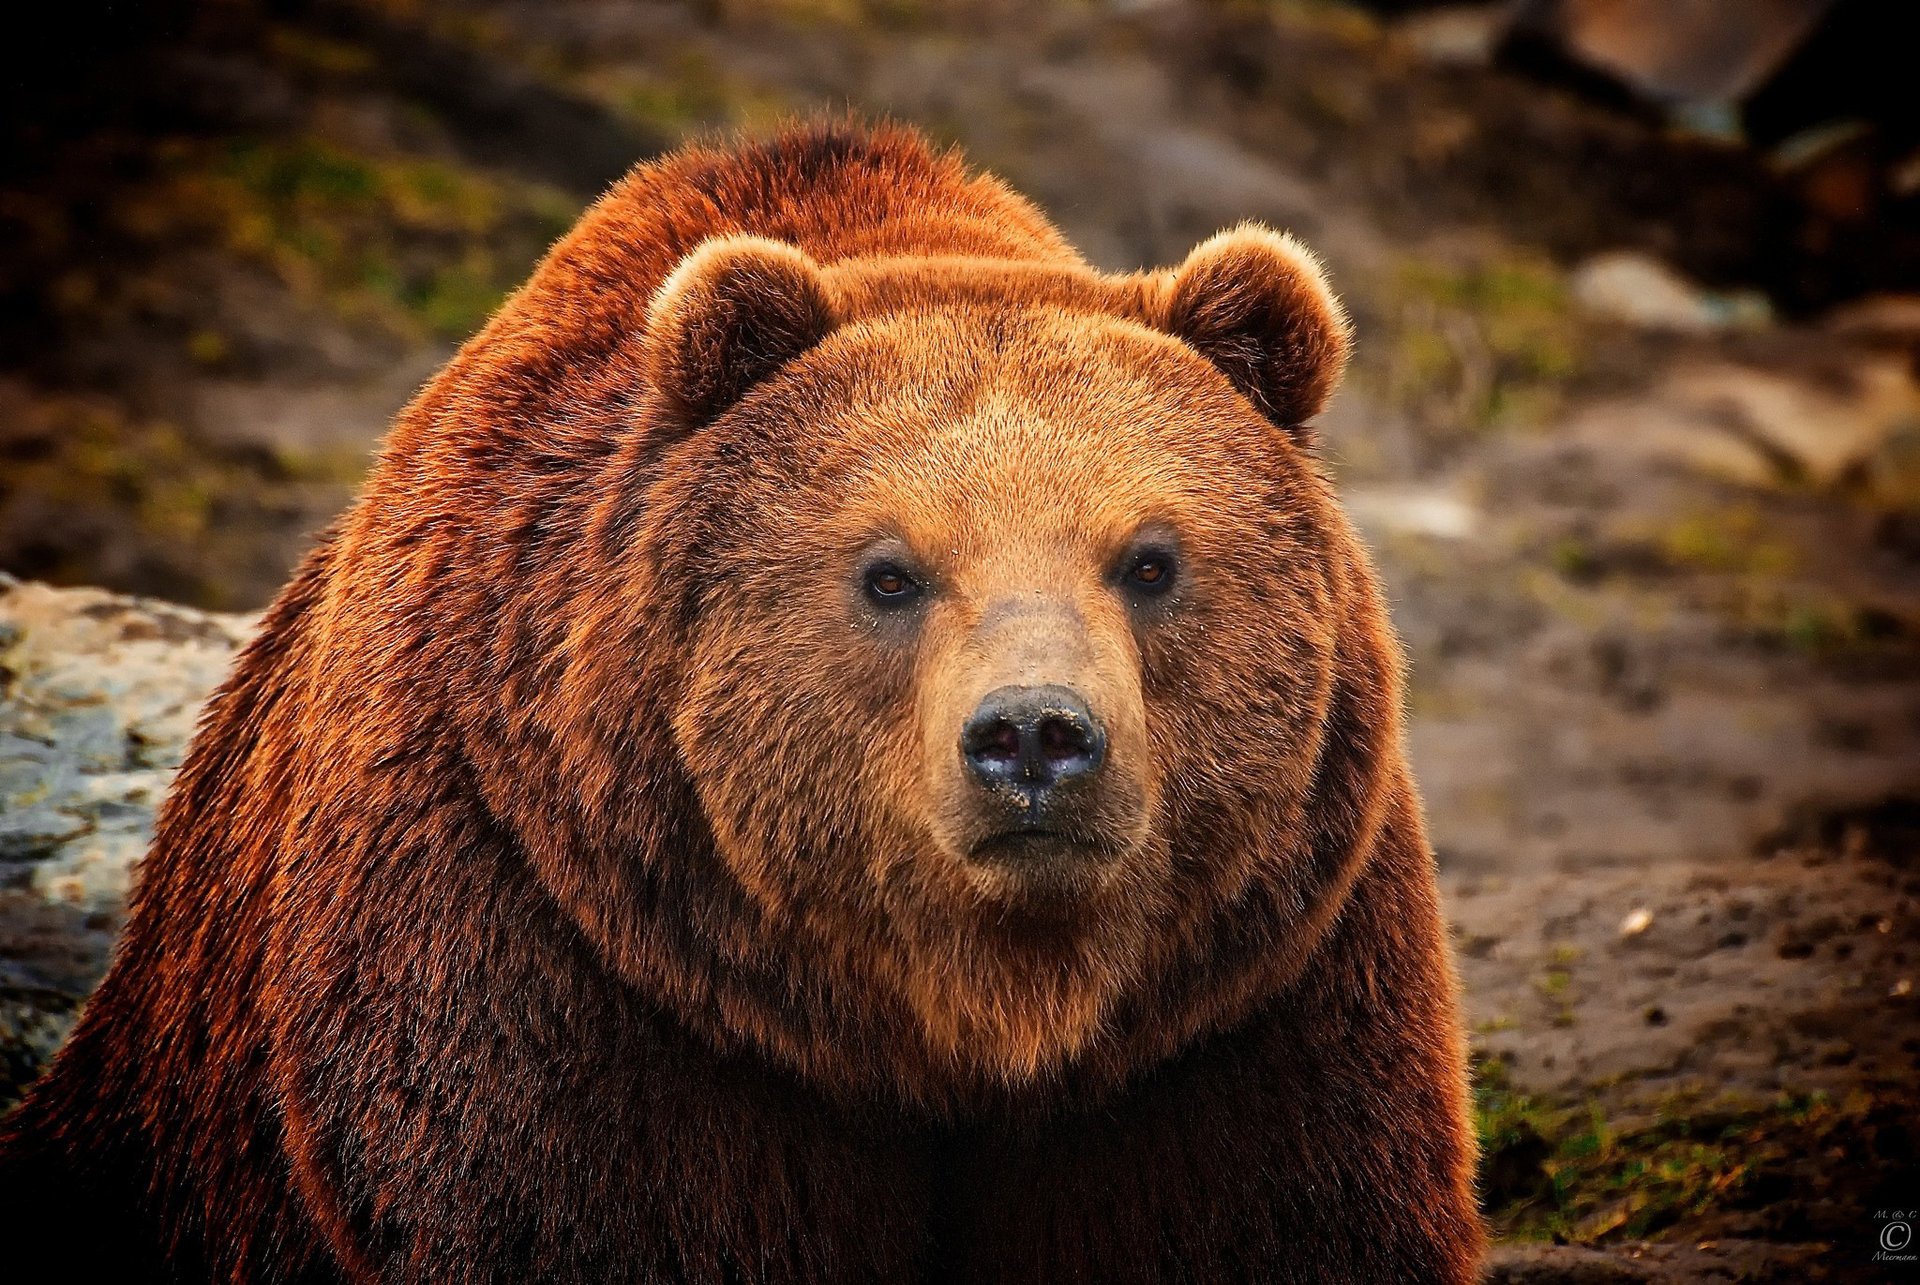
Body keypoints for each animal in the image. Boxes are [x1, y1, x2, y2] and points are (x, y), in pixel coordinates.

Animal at [0, 122, 1482, 1283]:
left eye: (1153, 558)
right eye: (889, 571)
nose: (1035, 739)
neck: (963, 1016)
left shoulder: (1240, 998)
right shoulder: (558, 955)